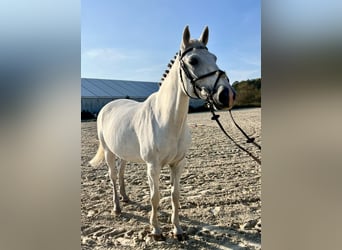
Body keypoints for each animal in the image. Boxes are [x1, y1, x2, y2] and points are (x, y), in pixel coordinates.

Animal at [89, 25, 235, 240]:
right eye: (193, 60)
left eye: (215, 58)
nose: (227, 95)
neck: (166, 120)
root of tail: (108, 106)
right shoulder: (153, 166)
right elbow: (155, 197)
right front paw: (156, 230)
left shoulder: (178, 164)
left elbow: (175, 196)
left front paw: (178, 230)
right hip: (108, 152)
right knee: (113, 176)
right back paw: (117, 207)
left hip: (123, 152)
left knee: (122, 172)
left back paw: (125, 198)